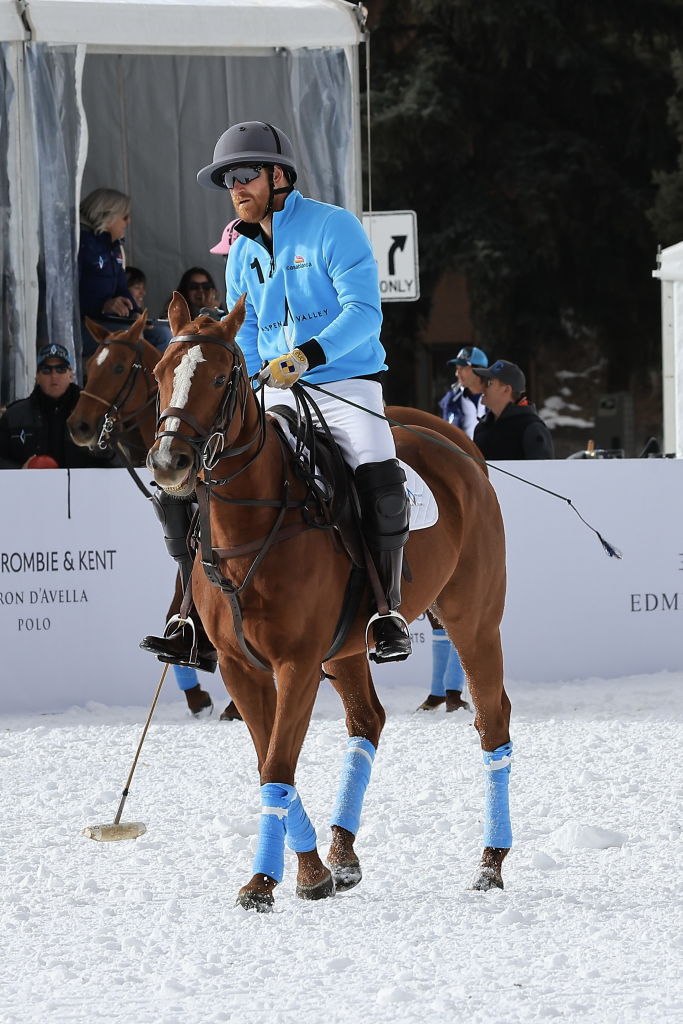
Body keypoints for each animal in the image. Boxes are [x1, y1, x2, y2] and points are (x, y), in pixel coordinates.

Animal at [145, 291, 512, 911]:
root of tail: (463, 450)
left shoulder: (296, 663)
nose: (169, 463)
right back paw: (344, 854)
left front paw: (265, 883)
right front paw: (312, 871)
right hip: (346, 648)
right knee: (368, 720)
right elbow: (269, 763)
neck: (251, 527)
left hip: (474, 620)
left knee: (493, 721)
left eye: (219, 377)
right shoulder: (243, 668)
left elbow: (277, 762)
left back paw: (491, 862)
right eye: (159, 374)